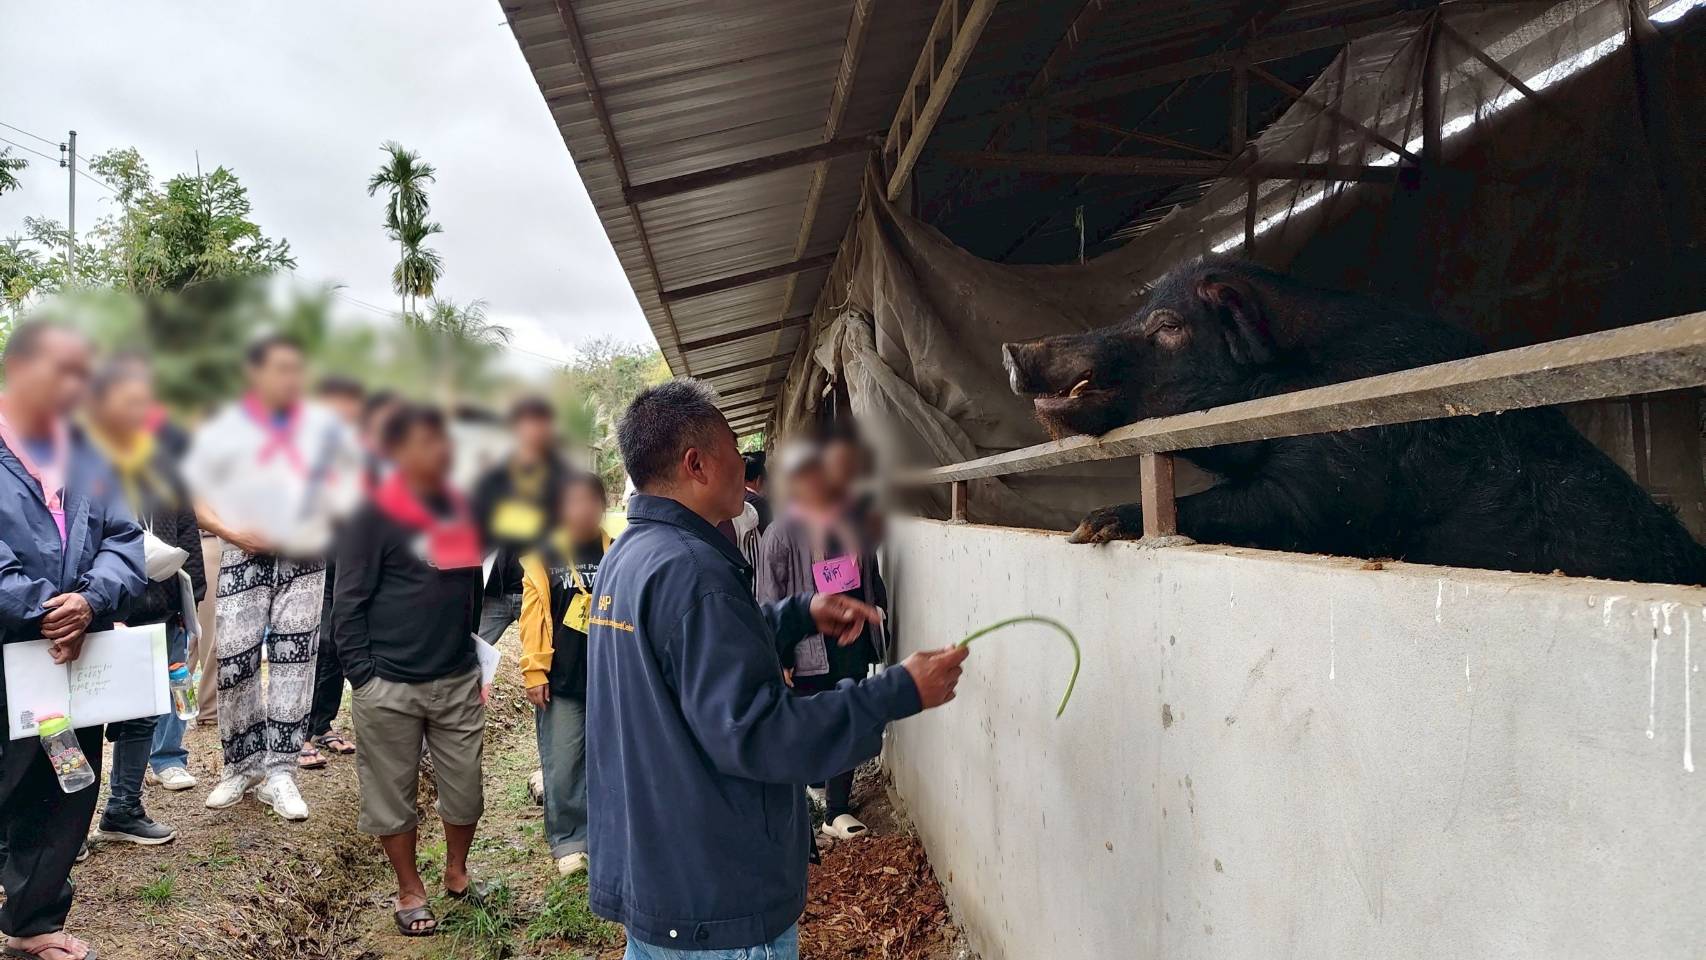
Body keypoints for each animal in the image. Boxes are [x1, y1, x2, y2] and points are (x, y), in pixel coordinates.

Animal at [1000, 256, 1706, 585]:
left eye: (1169, 326)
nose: (1013, 348)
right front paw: (1083, 527)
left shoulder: (1336, 477)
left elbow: (1264, 509)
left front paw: (1088, 527)